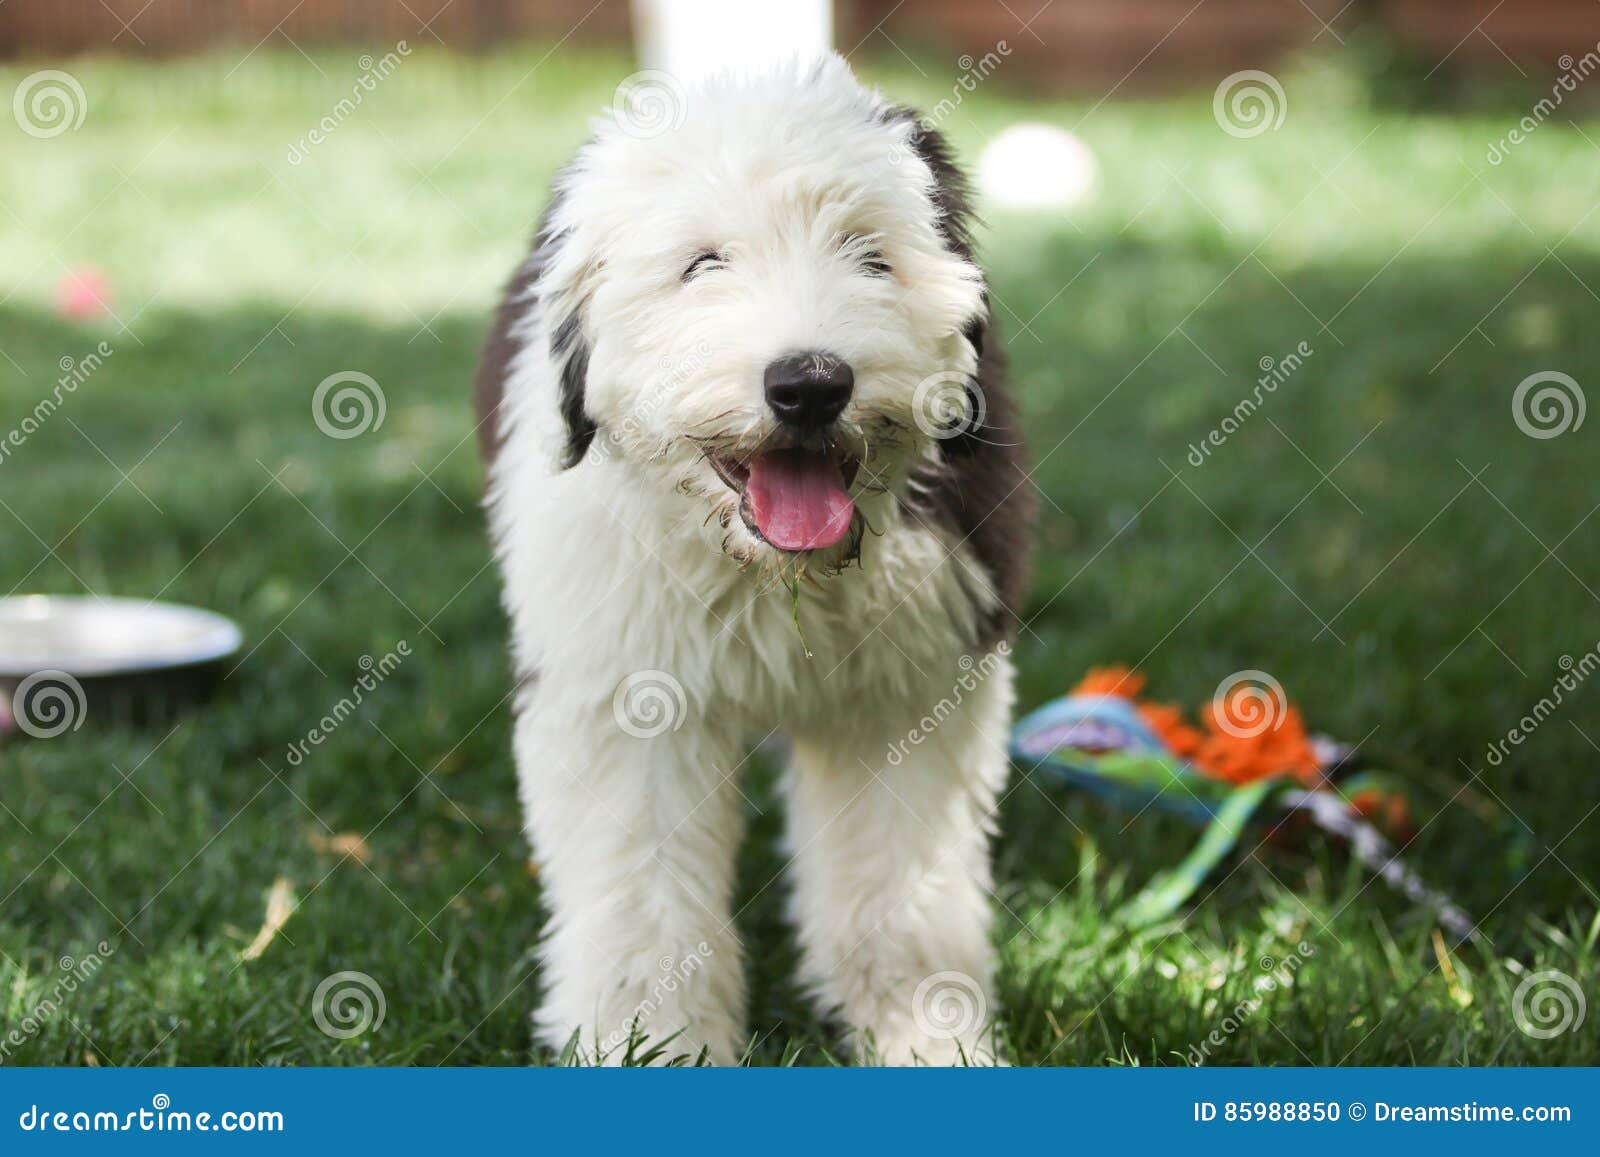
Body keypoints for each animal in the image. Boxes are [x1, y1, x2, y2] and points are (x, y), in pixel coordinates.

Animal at [470, 56, 1036, 1068]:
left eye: (869, 253)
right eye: (704, 263)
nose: (809, 384)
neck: (773, 573)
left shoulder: (910, 689)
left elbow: (899, 893)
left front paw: (926, 1039)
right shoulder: (627, 702)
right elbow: (642, 902)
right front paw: (648, 1045)